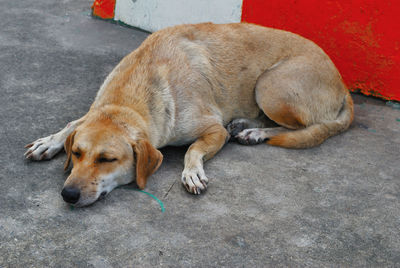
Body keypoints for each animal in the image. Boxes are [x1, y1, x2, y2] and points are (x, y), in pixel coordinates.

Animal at [24, 23, 354, 207]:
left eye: (108, 160)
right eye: (77, 154)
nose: (68, 195)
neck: (133, 97)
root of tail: (342, 83)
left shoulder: (213, 129)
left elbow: (193, 149)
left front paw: (192, 171)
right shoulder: (98, 110)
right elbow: (73, 123)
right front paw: (49, 142)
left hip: (270, 85)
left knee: (303, 125)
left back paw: (255, 132)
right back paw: (248, 124)